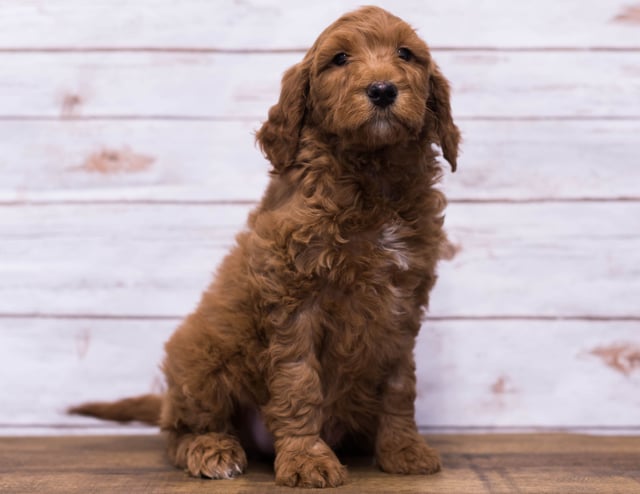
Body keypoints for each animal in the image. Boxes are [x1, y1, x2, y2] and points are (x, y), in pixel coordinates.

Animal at [71, 5, 460, 488]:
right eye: (339, 59)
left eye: (406, 54)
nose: (383, 89)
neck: (373, 176)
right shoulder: (294, 297)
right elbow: (299, 383)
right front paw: (307, 458)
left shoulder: (402, 303)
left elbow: (399, 384)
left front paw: (403, 449)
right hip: (202, 356)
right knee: (180, 430)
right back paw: (212, 449)